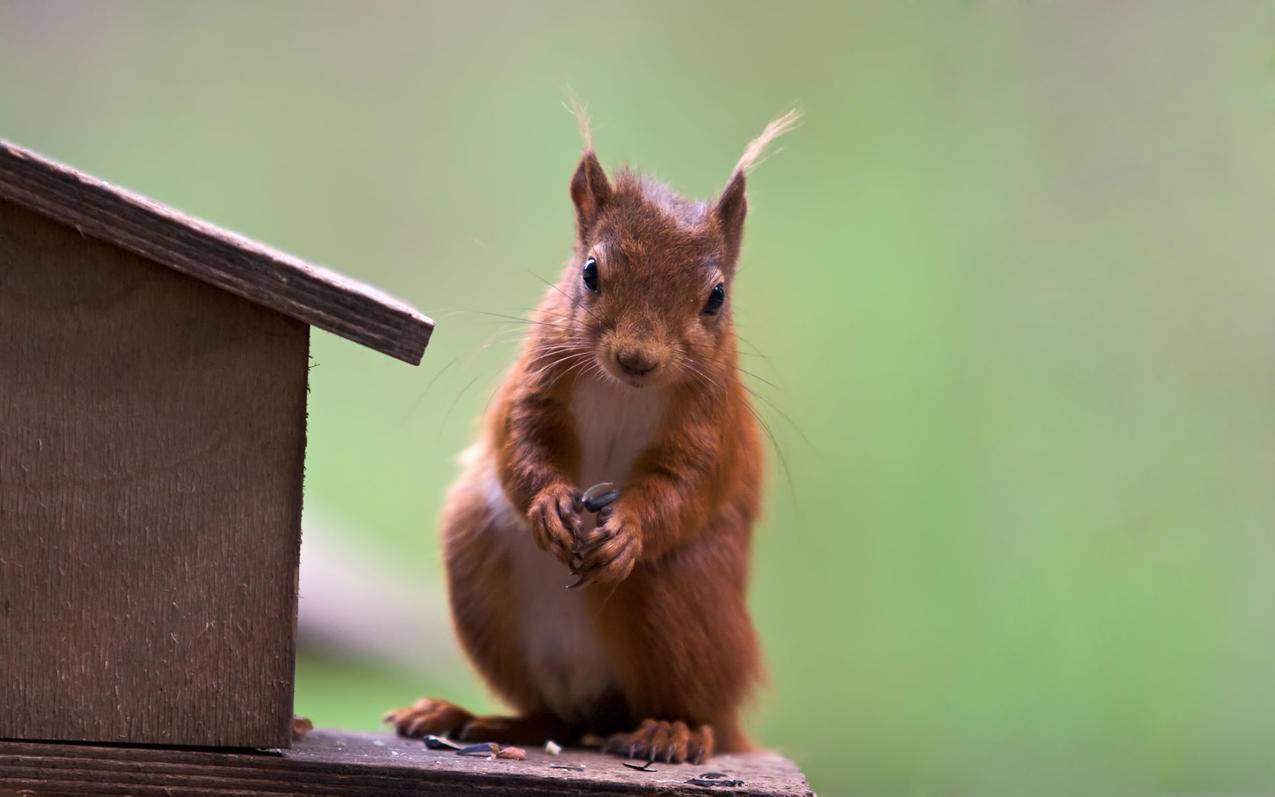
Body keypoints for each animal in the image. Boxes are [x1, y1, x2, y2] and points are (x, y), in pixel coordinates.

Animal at [382, 107, 795, 765]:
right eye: (590, 272)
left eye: (717, 297)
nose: (637, 358)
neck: (624, 388)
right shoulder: (537, 375)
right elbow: (521, 440)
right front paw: (551, 502)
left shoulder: (711, 420)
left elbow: (688, 483)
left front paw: (627, 529)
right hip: (478, 558)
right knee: (554, 718)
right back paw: (473, 719)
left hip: (685, 594)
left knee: (698, 716)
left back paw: (673, 731)